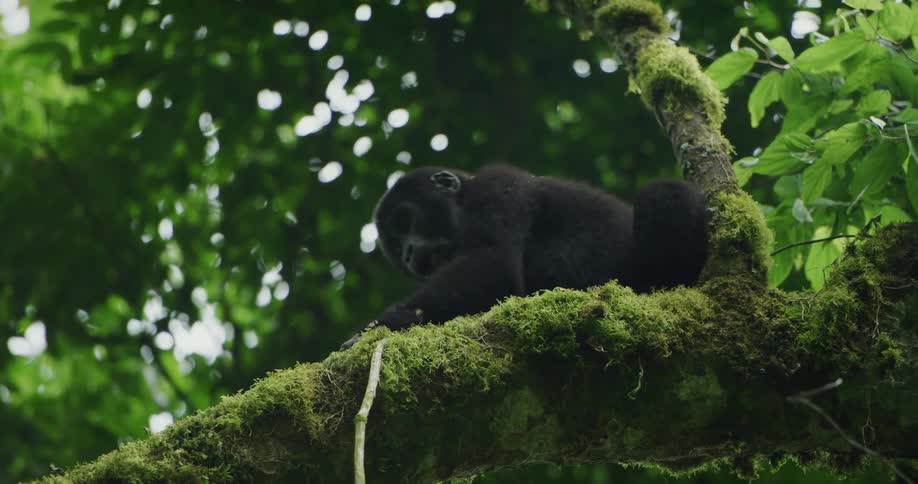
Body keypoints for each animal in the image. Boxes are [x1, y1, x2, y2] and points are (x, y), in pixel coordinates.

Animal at [340, 164, 708, 349]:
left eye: (405, 221)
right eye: (396, 247)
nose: (409, 254)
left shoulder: (498, 188)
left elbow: (494, 265)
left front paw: (387, 322)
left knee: (662, 193)